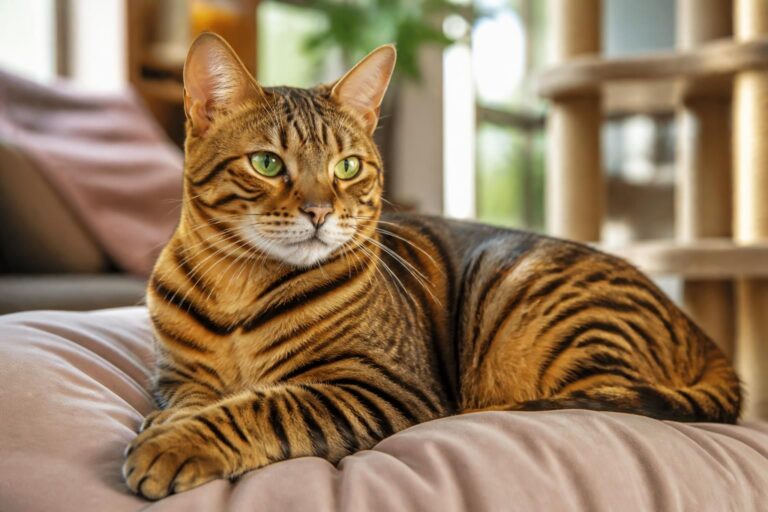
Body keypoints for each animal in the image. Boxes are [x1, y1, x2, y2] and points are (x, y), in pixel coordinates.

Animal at [122, 32, 741, 500]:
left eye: (347, 167)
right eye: (267, 163)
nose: (320, 212)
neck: (239, 286)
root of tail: (703, 334)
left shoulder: (380, 386)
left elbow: (267, 407)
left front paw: (176, 443)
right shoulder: (176, 376)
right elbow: (195, 398)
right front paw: (173, 423)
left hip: (547, 320)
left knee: (604, 397)